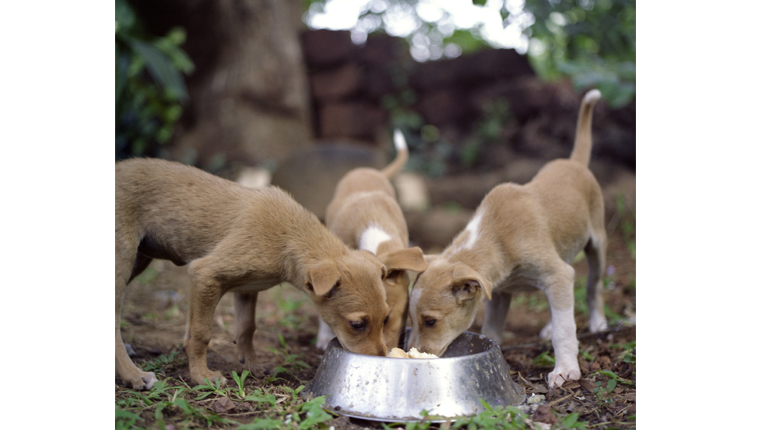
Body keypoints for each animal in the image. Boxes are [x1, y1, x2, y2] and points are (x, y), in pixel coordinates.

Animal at [119, 158, 392, 390]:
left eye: (386, 318)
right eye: (357, 324)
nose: (382, 359)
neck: (290, 236)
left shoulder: (246, 288)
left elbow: (246, 329)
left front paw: (251, 366)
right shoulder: (204, 274)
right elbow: (201, 333)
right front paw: (201, 377)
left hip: (139, 261)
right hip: (123, 258)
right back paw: (134, 375)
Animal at [406, 89, 608, 388]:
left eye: (430, 321)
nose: (412, 352)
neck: (496, 236)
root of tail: (574, 162)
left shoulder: (558, 274)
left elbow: (564, 330)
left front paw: (565, 370)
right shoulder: (500, 293)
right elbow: (491, 330)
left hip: (597, 245)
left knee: (594, 286)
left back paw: (598, 322)